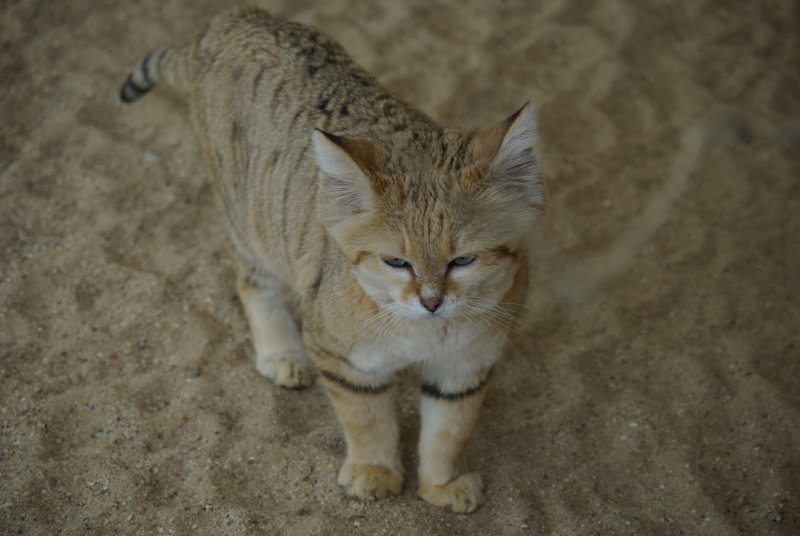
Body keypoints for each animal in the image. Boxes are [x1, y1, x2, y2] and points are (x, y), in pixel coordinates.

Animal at [119, 7, 544, 510]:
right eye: (396, 262)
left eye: (462, 261)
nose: (432, 301)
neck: (424, 334)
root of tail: (233, 18)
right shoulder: (343, 359)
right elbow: (367, 419)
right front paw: (373, 471)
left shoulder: (466, 366)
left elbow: (449, 431)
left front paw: (442, 484)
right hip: (249, 220)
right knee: (250, 283)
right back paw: (281, 353)